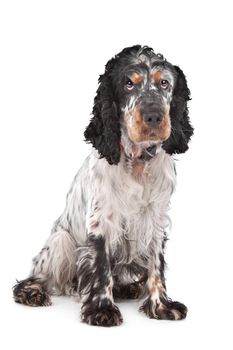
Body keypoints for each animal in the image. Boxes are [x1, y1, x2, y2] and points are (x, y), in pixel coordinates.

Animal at [13, 45, 194, 326]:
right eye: (128, 84)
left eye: (164, 83)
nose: (154, 116)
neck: (137, 163)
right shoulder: (102, 219)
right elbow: (100, 265)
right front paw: (101, 309)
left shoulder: (156, 217)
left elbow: (156, 265)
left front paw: (161, 305)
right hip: (61, 242)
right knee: (39, 275)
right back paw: (34, 292)